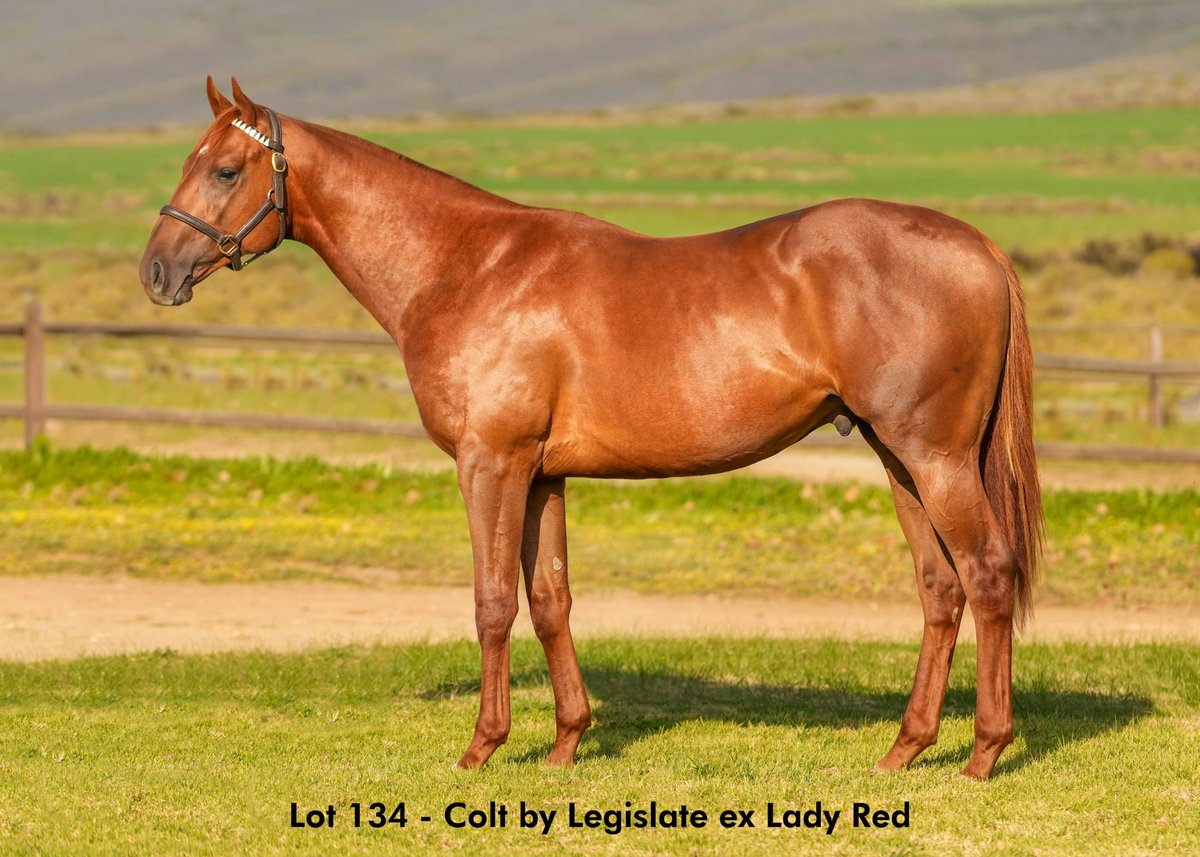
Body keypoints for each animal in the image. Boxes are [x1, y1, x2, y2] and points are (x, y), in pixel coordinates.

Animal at [140, 77, 1043, 780]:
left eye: (226, 168)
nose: (156, 270)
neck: (468, 266)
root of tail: (979, 246)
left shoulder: (490, 463)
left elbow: (493, 602)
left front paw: (482, 746)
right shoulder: (543, 474)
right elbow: (551, 599)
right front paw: (565, 743)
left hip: (936, 458)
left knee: (987, 574)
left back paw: (982, 752)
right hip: (899, 460)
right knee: (940, 587)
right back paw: (903, 750)